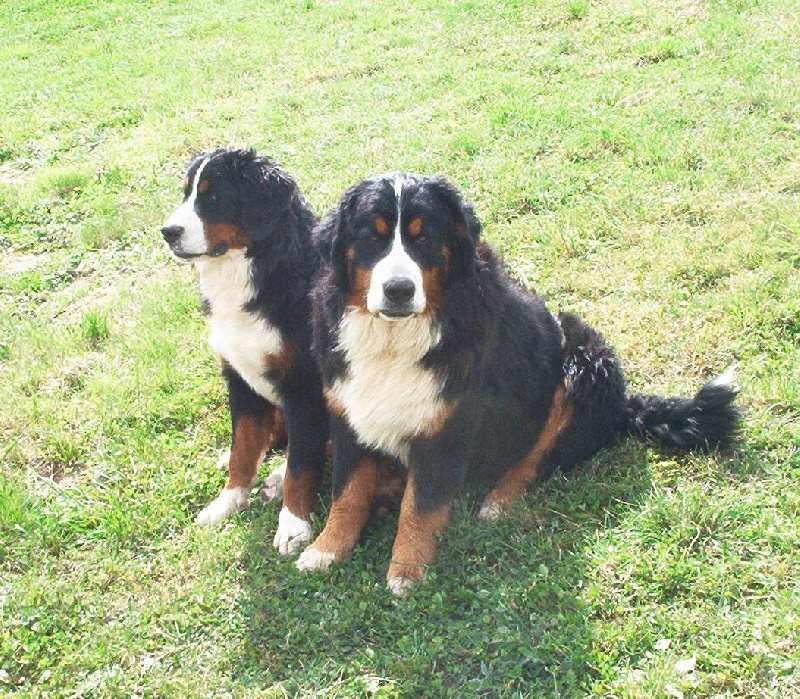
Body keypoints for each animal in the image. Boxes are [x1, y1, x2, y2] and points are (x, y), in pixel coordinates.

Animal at [161, 150, 326, 556]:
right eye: (187, 193)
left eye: (213, 196)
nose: (167, 231)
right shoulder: (238, 376)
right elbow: (244, 448)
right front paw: (227, 501)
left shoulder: (304, 387)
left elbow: (302, 465)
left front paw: (293, 526)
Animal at [296, 174, 740, 596]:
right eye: (372, 236)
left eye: (424, 238)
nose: (399, 290)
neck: (394, 339)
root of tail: (625, 405)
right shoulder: (350, 412)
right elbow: (347, 493)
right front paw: (325, 549)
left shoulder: (446, 427)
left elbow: (420, 506)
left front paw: (407, 570)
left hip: (583, 360)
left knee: (537, 460)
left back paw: (496, 501)